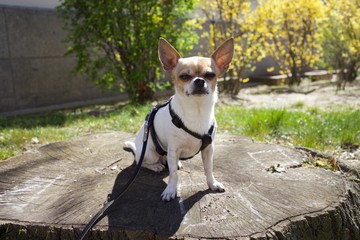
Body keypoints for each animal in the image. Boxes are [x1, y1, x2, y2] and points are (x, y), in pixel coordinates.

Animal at [125, 37, 235, 201]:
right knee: (141, 162)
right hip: (149, 153)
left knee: (165, 161)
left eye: (210, 75)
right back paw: (156, 166)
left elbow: (208, 168)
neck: (196, 111)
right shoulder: (173, 149)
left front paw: (213, 183)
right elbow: (173, 176)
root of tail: (138, 148)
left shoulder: (208, 149)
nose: (199, 81)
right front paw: (171, 190)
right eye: (184, 77)